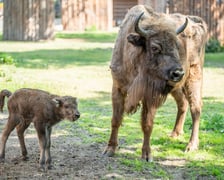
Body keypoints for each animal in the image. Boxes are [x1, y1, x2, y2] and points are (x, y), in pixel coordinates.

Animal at [103, 4, 206, 161]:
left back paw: (191, 146)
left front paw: (146, 155)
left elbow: (147, 124)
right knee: (182, 103)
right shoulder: (118, 88)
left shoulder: (149, 96)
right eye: (155, 47)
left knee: (196, 109)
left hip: (194, 77)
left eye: (177, 46)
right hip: (176, 87)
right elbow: (116, 119)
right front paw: (110, 149)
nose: (178, 73)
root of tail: (196, 23)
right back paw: (175, 133)